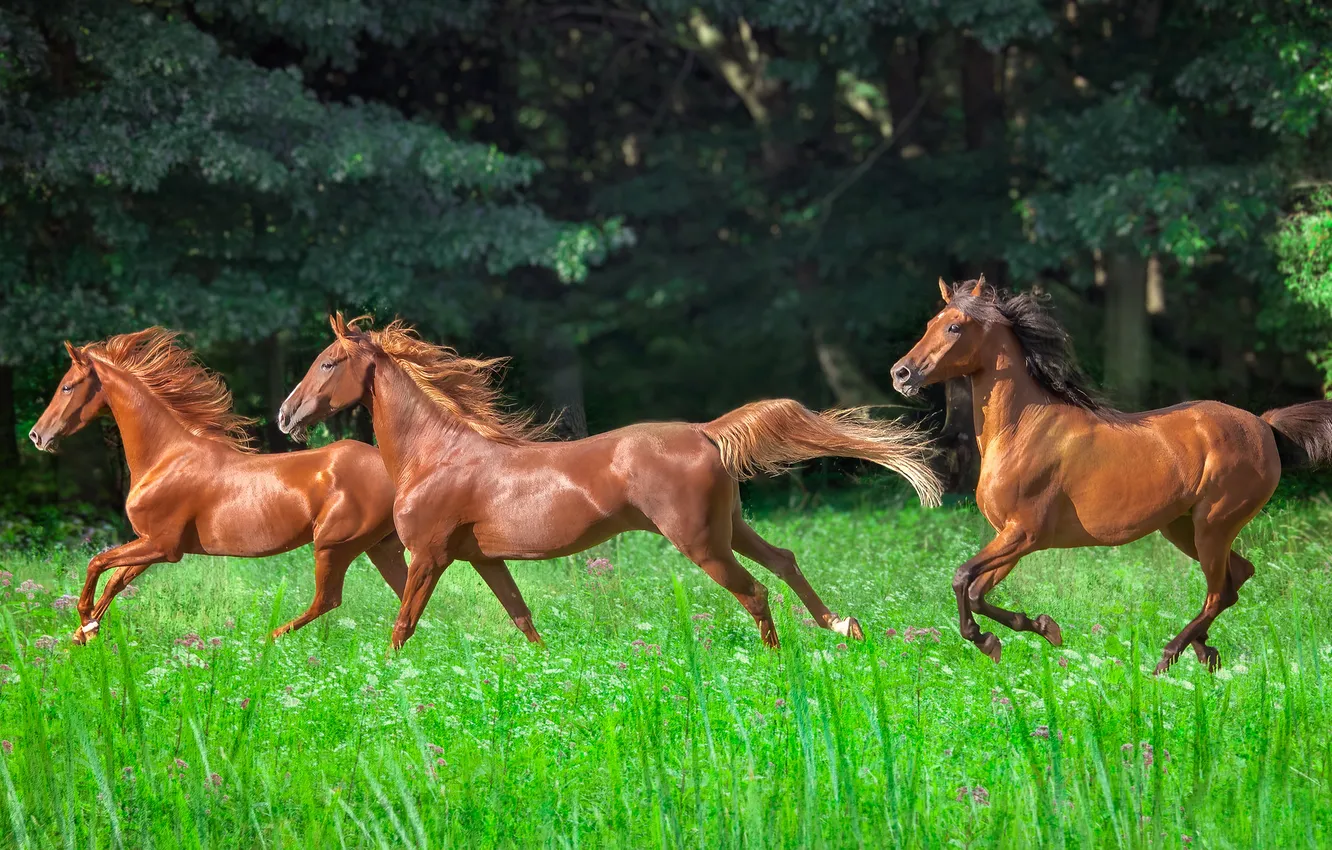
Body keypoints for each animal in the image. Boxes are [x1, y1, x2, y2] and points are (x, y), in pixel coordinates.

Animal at [27, 328, 420, 644]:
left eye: (67, 386)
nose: (36, 435)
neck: (167, 456)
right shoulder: (151, 544)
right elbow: (116, 580)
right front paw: (84, 633)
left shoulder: (162, 545)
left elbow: (97, 563)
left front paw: (85, 623)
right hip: (380, 548)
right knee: (409, 597)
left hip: (333, 545)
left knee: (329, 600)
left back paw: (268, 638)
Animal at [276, 314, 943, 650]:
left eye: (329, 363)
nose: (286, 416)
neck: (436, 455)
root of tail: (704, 432)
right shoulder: (483, 559)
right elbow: (524, 622)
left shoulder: (430, 555)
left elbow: (404, 624)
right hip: (729, 527)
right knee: (783, 560)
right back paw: (844, 627)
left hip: (700, 541)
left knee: (755, 591)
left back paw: (780, 662)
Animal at [891, 276, 1332, 673]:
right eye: (931, 322)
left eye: (954, 326)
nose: (902, 374)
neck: (1022, 429)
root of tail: (1264, 425)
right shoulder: (1011, 539)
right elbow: (977, 591)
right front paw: (1037, 629)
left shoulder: (1024, 533)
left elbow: (961, 577)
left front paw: (993, 638)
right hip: (1181, 527)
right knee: (1236, 577)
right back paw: (1204, 651)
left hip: (1215, 523)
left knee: (1219, 592)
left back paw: (1168, 656)